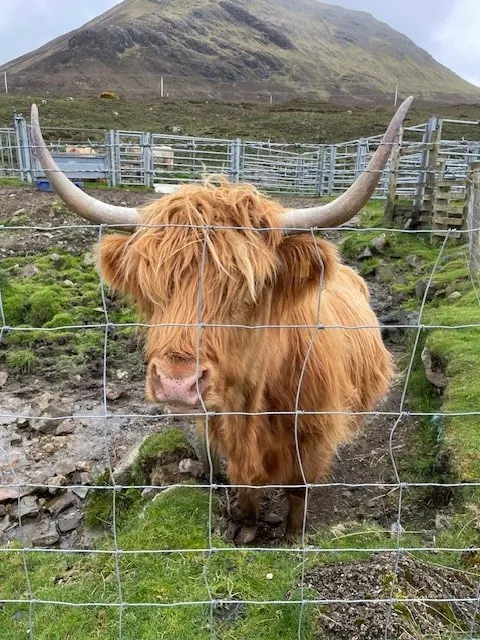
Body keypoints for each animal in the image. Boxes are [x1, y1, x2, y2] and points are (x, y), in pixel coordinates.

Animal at [31, 98, 412, 543]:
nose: (176, 383)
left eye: (249, 290)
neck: (254, 402)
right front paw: (244, 524)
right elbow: (241, 478)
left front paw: (293, 536)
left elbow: (298, 488)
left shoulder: (312, 437)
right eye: (153, 286)